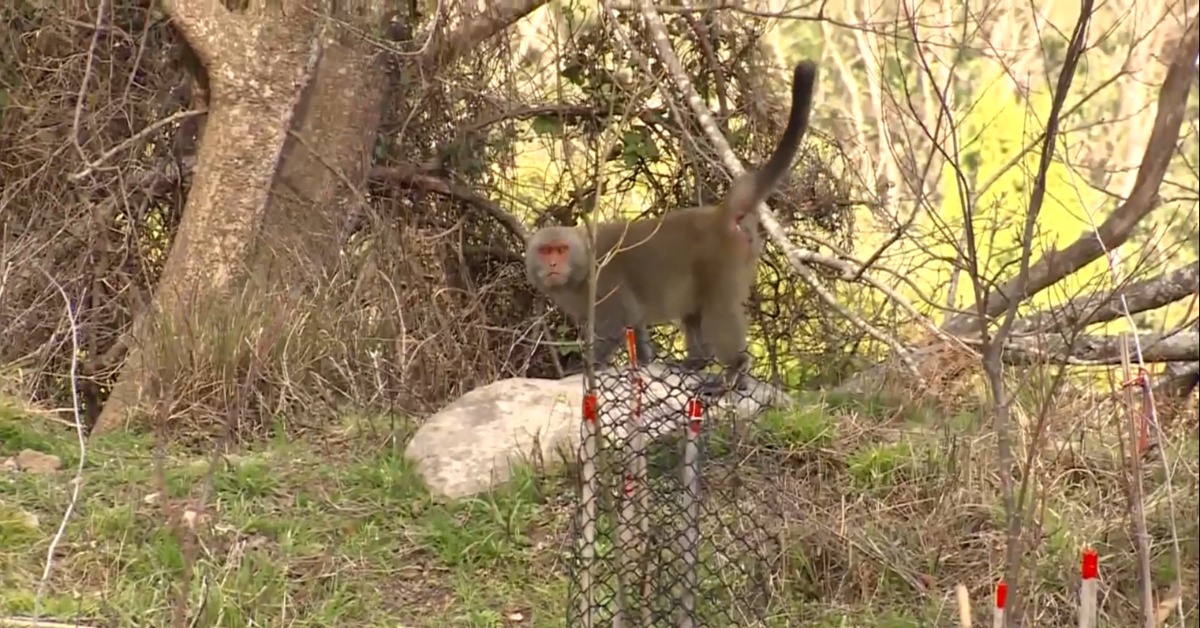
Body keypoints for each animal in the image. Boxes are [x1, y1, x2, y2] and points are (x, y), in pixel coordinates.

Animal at [528, 61, 820, 391]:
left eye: (561, 250)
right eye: (546, 251)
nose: (552, 264)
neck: (581, 266)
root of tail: (720, 215)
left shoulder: (603, 283)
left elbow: (616, 323)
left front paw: (588, 366)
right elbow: (635, 324)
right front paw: (643, 360)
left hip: (722, 260)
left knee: (718, 310)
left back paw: (733, 369)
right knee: (693, 314)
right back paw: (697, 361)